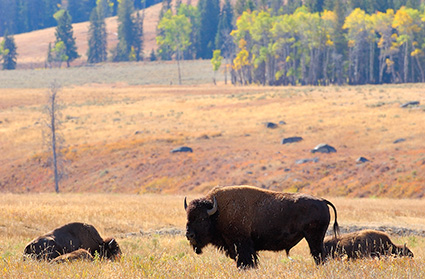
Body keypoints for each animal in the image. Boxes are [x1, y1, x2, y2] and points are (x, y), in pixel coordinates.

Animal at [184, 186, 340, 270]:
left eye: (202, 218)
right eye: (188, 217)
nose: (189, 235)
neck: (217, 213)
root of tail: (322, 201)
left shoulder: (242, 244)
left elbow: (247, 260)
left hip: (314, 238)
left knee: (318, 254)